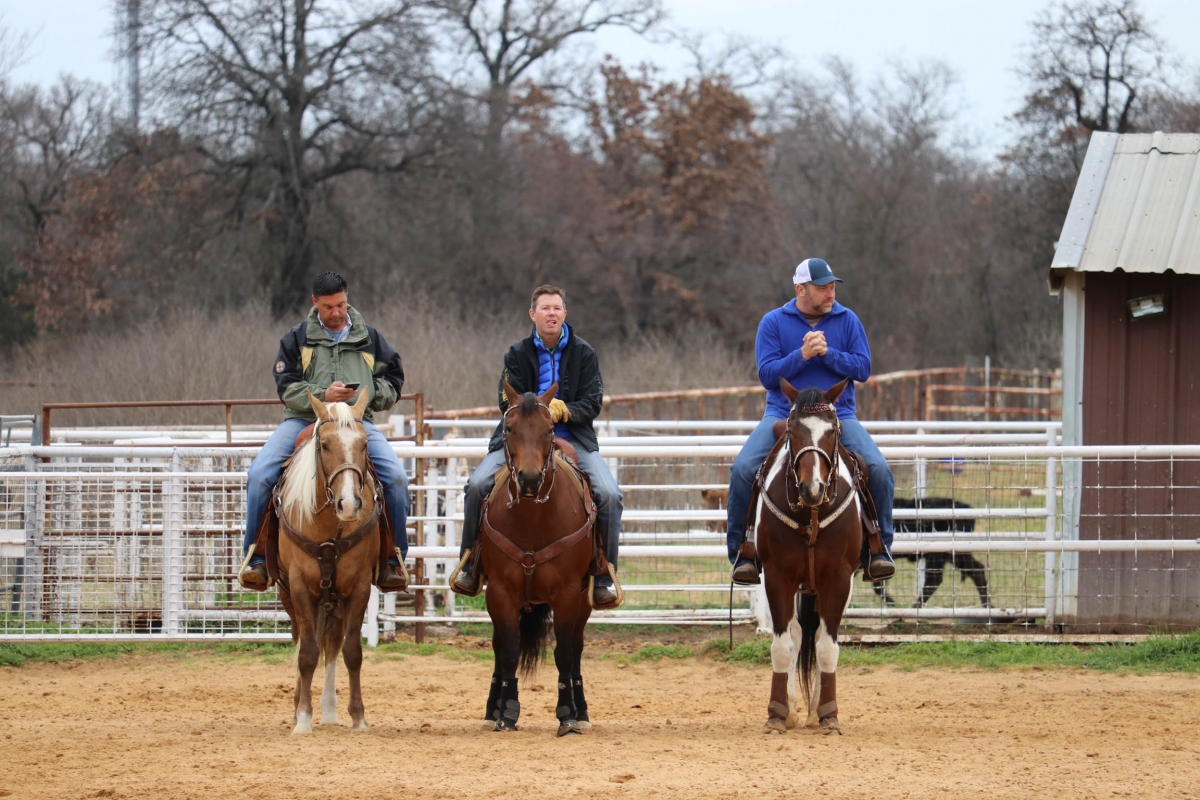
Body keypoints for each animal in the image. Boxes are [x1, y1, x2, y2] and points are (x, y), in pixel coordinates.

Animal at [274, 388, 382, 734]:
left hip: (334, 597)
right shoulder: (299, 585)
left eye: (364, 445)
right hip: (288, 593)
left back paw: (331, 710)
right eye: (324, 445)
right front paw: (303, 719)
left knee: (332, 643)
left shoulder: (359, 585)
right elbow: (307, 653)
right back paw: (300, 705)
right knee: (300, 639)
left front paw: (358, 717)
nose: (348, 504)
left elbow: (352, 651)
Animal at [474, 379, 599, 736]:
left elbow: (564, 653)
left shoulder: (568, 593)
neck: (533, 520)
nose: (529, 480)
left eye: (548, 429)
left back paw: (582, 711)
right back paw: (492, 709)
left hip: (584, 600)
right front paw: (506, 712)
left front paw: (568, 714)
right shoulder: (500, 592)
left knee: (577, 648)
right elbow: (509, 650)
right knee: (499, 647)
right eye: (509, 429)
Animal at [753, 377, 864, 735]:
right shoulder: (777, 577)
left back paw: (815, 708)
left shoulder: (839, 579)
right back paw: (793, 706)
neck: (811, 514)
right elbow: (783, 645)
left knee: (816, 637)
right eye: (793, 429)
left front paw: (828, 713)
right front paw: (777, 712)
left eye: (833, 430)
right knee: (798, 635)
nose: (811, 488)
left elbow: (827, 647)